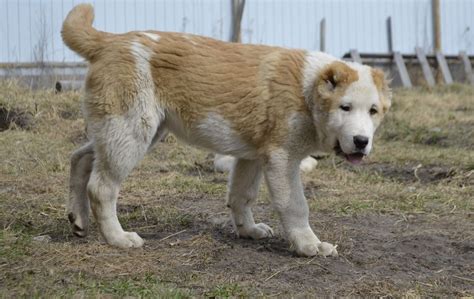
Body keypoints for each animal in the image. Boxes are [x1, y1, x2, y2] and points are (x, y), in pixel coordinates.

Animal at [63, 4, 390, 258]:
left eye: (373, 111)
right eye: (345, 108)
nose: (361, 141)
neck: (307, 92)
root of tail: (109, 40)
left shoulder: (253, 157)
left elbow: (241, 195)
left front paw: (248, 230)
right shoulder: (281, 159)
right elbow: (296, 205)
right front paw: (310, 245)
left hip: (125, 131)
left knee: (81, 158)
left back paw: (78, 219)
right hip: (131, 132)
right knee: (101, 187)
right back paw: (117, 238)